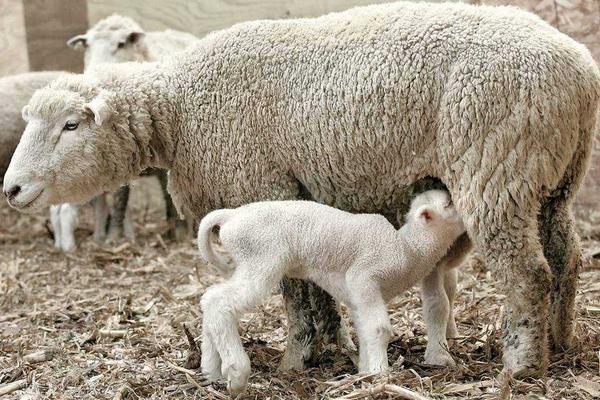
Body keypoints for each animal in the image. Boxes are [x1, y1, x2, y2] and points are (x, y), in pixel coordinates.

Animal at [3, 1, 596, 380]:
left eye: (70, 127)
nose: (11, 188)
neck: (179, 109)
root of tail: (579, 69)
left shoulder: (261, 187)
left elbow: (293, 292)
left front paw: (298, 356)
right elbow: (316, 288)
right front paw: (333, 344)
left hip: (497, 167)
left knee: (528, 272)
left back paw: (522, 364)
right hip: (553, 178)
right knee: (566, 258)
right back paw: (563, 341)